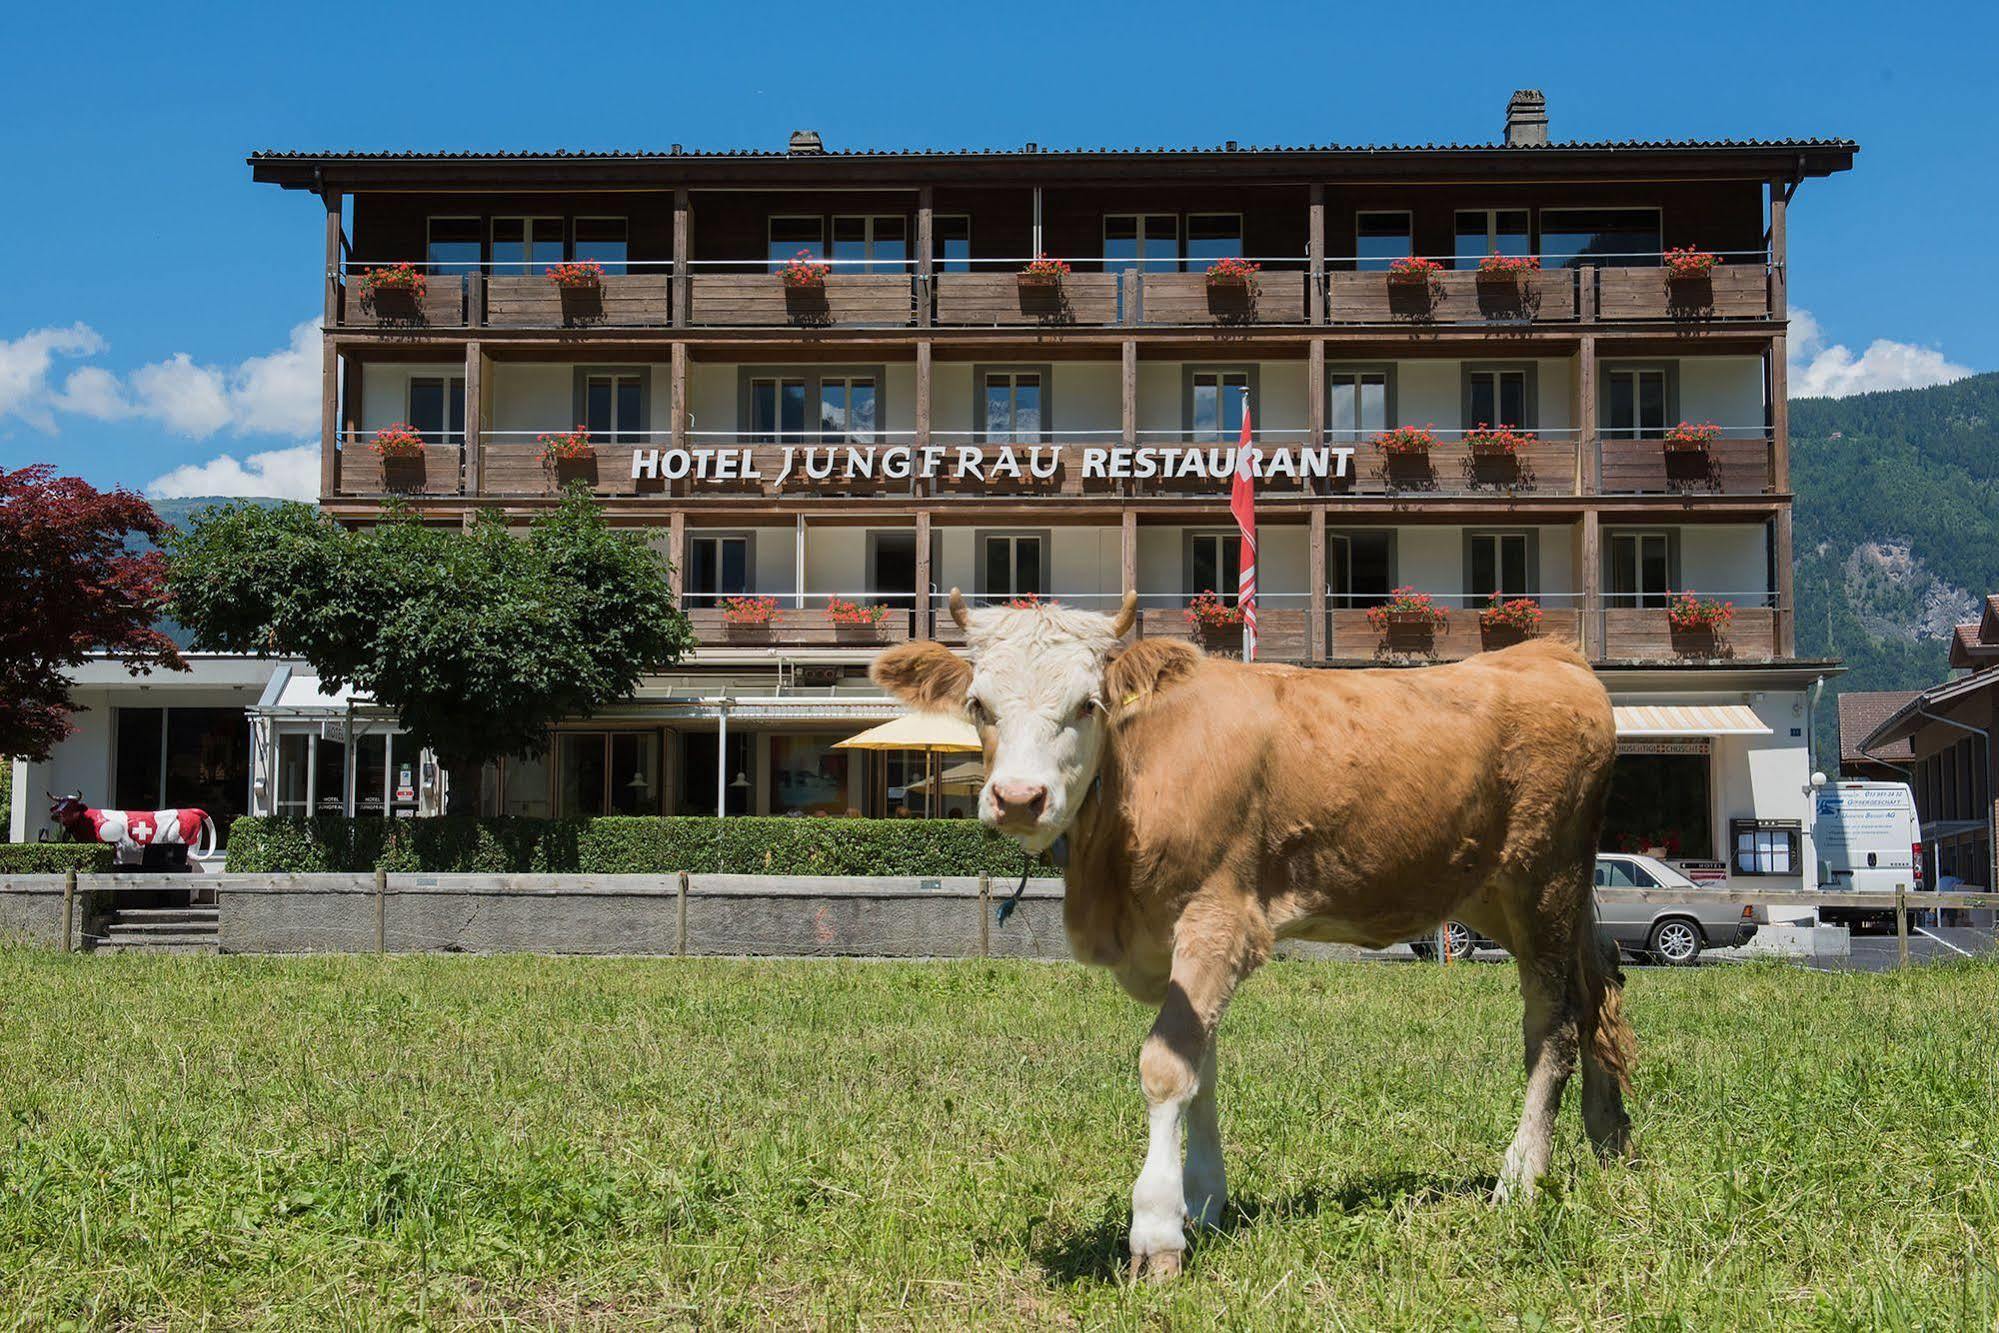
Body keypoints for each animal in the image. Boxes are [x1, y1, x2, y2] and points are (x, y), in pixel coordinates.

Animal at [879, 595, 1639, 1279]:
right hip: (1505, 895)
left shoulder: (1219, 919)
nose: (1018, 798)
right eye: (978, 704)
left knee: (1553, 1022)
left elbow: (1166, 1068)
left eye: (1087, 704)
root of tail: (1549, 655)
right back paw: (1609, 1137)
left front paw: (1157, 1231)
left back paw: (1520, 1177)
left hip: (1544, 881)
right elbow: (1201, 1064)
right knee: (1598, 980)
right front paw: (1203, 1201)